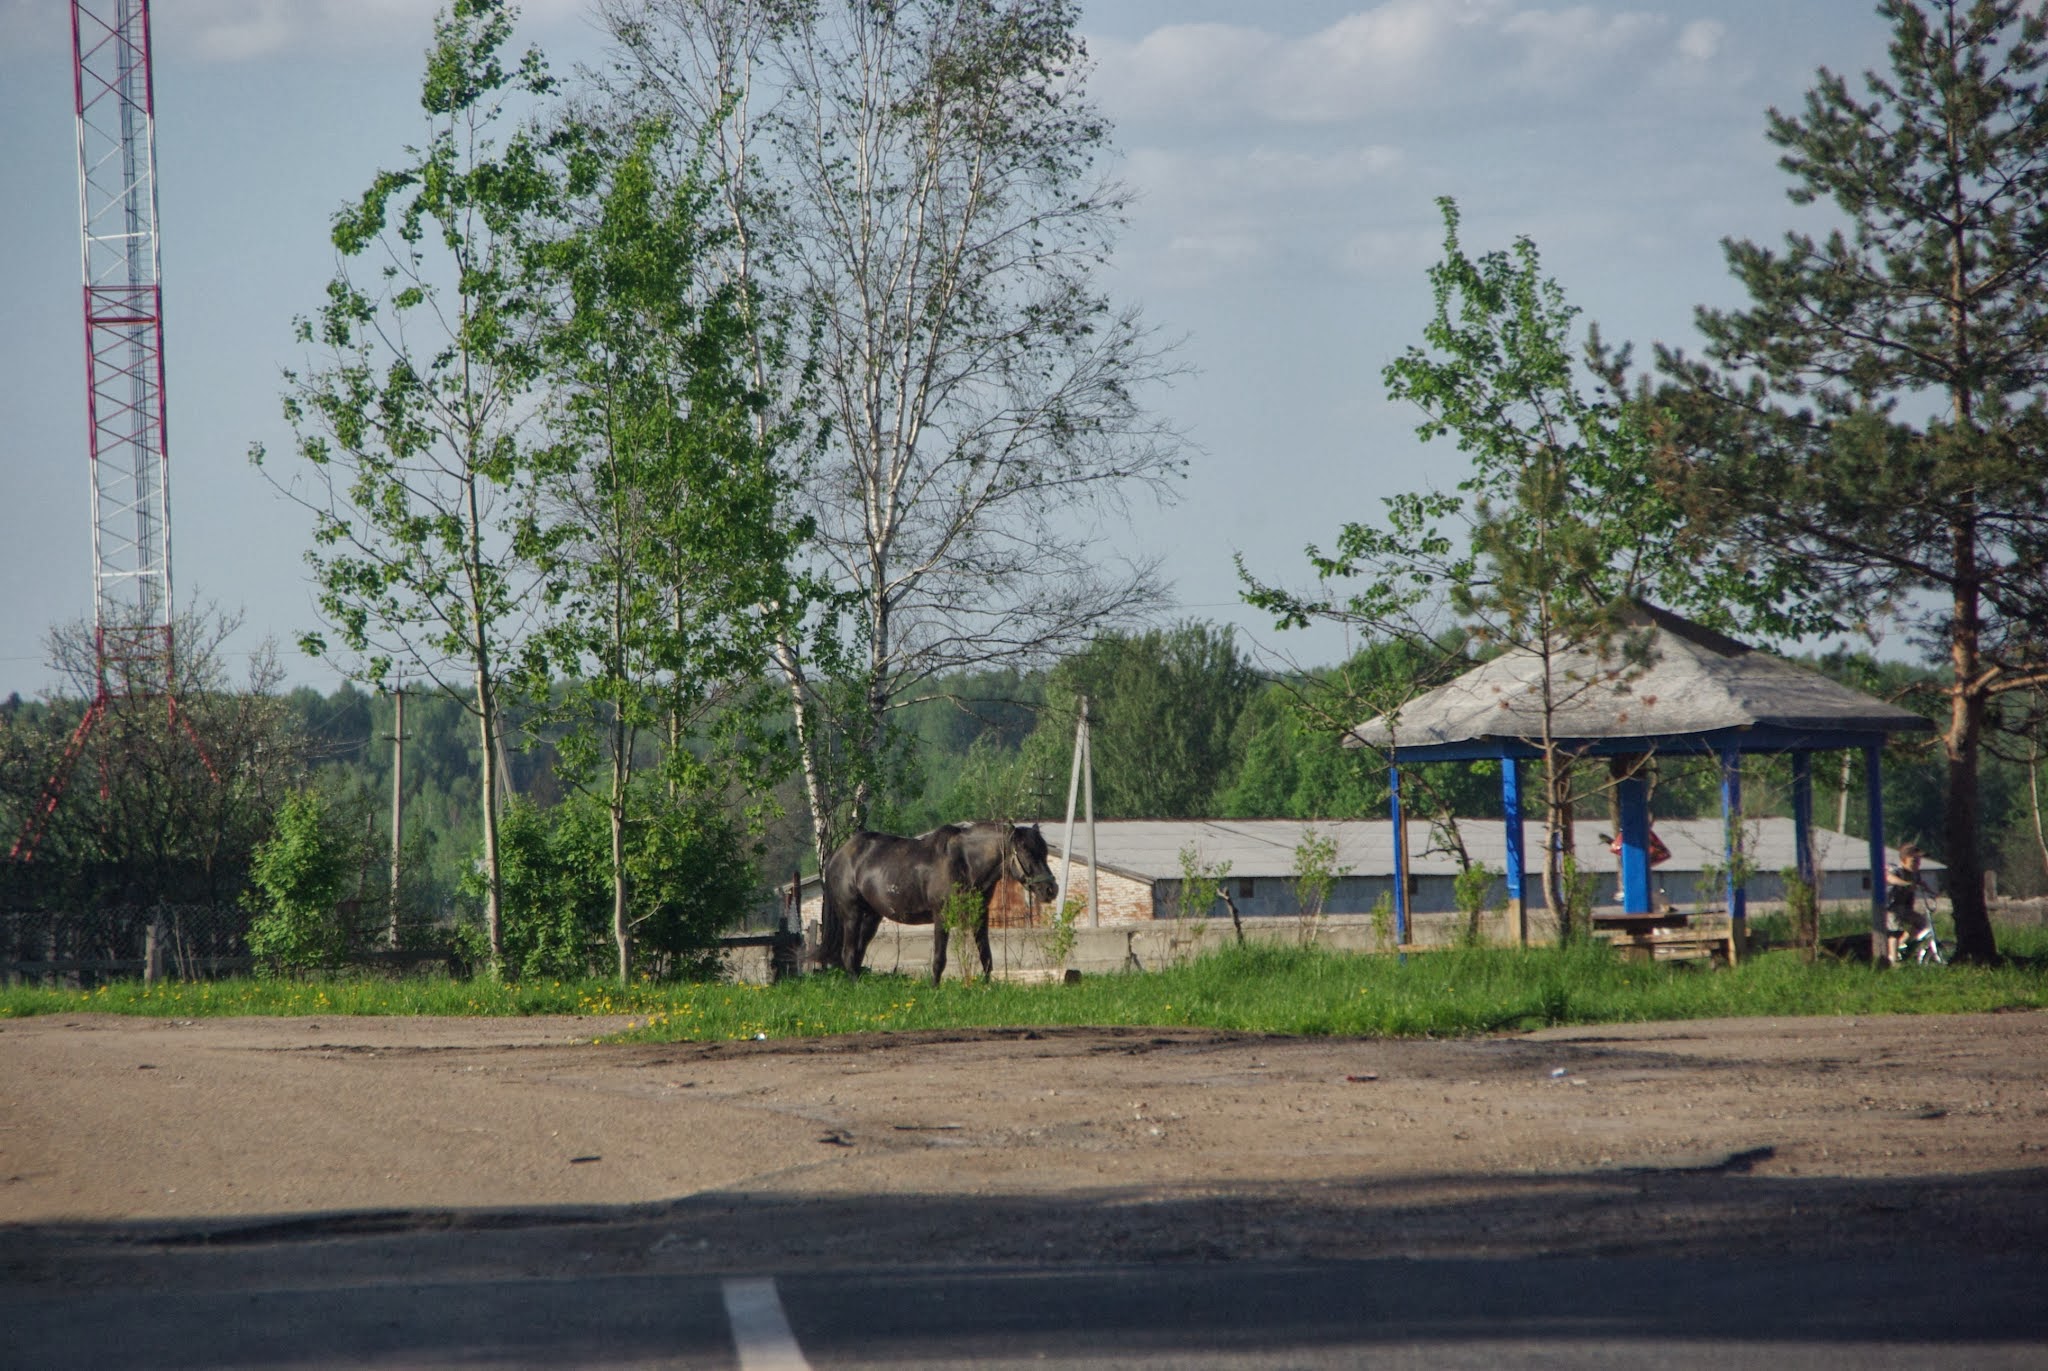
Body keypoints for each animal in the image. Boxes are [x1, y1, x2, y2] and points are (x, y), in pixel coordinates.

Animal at [819, 823, 1064, 983]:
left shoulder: (980, 918)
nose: (1051, 889)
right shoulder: (942, 917)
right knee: (849, 954)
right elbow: (939, 959)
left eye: (1044, 852)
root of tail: (838, 856)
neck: (965, 863)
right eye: (1026, 852)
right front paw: (934, 988)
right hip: (852, 915)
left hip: (872, 917)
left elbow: (986, 957)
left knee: (858, 954)